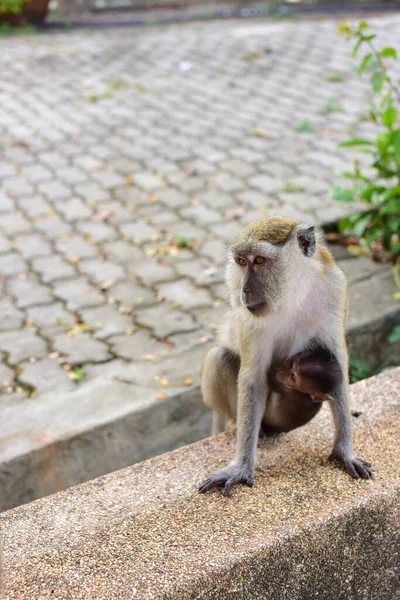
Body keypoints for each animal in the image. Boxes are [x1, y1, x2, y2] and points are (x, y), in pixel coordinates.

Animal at [200, 216, 372, 496]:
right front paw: (241, 467)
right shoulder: (251, 319)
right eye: (241, 262)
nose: (245, 290)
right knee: (220, 357)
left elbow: (338, 366)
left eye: (259, 260)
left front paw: (344, 451)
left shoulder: (334, 290)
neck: (293, 293)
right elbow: (252, 379)